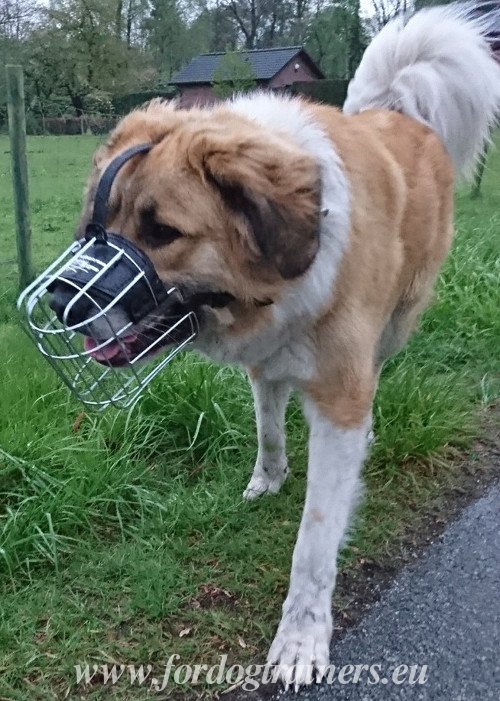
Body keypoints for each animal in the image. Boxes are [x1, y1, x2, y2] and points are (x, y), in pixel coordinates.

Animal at [71, 2, 500, 688]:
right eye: (95, 226)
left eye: (162, 232)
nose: (63, 299)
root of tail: (397, 113)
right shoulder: (265, 362)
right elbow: (268, 427)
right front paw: (267, 479)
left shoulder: (341, 397)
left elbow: (314, 543)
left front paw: (301, 639)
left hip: (397, 321)